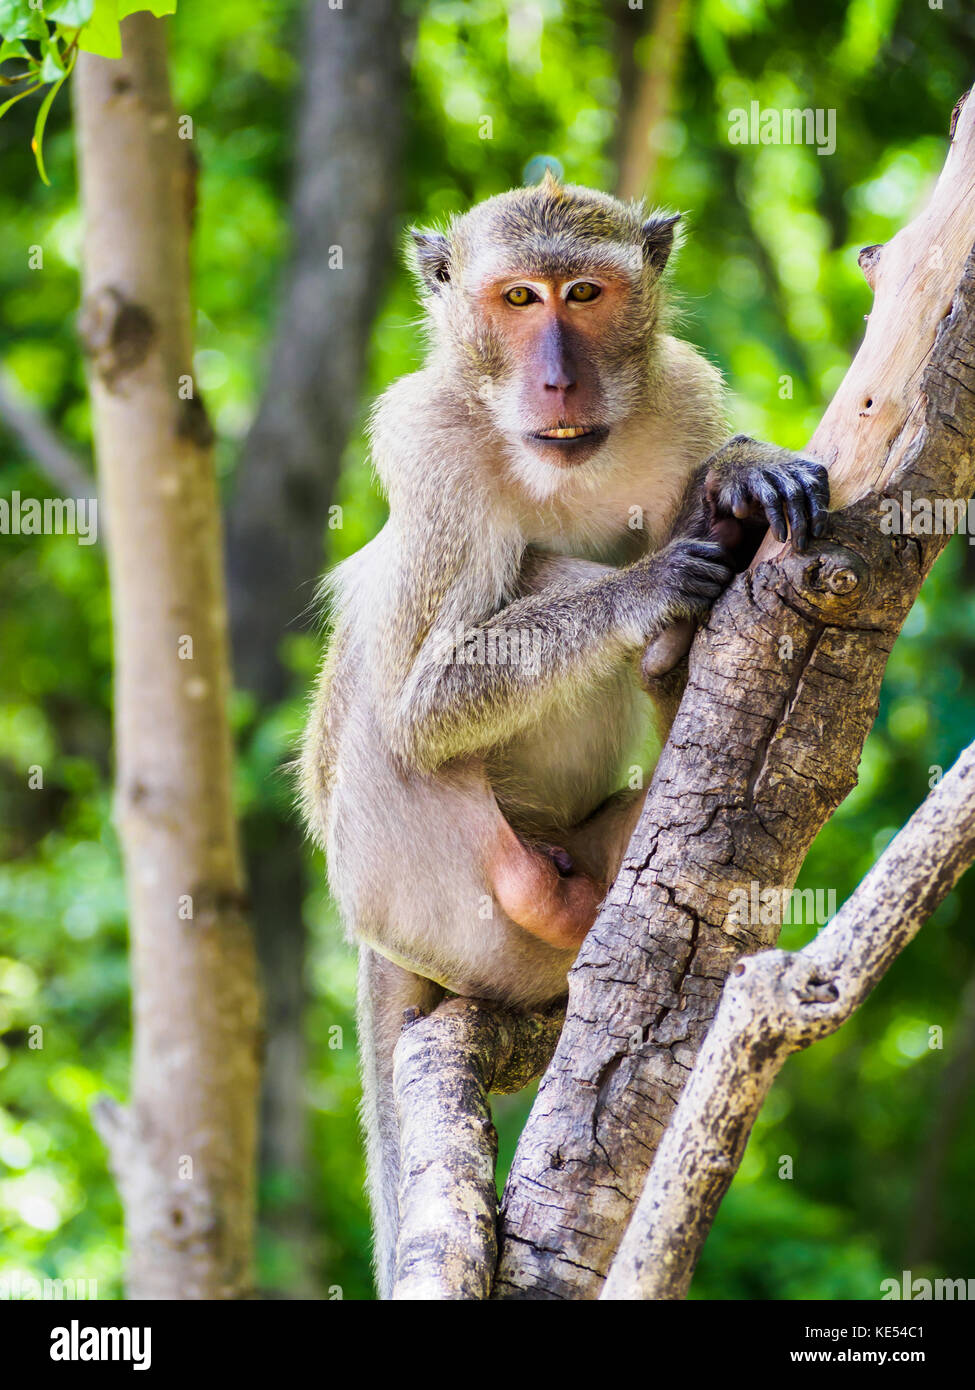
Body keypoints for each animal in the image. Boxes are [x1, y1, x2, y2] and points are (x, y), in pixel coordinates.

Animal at [300, 172, 829, 1298]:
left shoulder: (685, 394)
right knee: (430, 639)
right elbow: (419, 702)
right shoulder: (428, 441)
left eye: (583, 294)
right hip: (417, 882)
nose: (555, 379)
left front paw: (738, 478)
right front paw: (654, 585)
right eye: (516, 300)